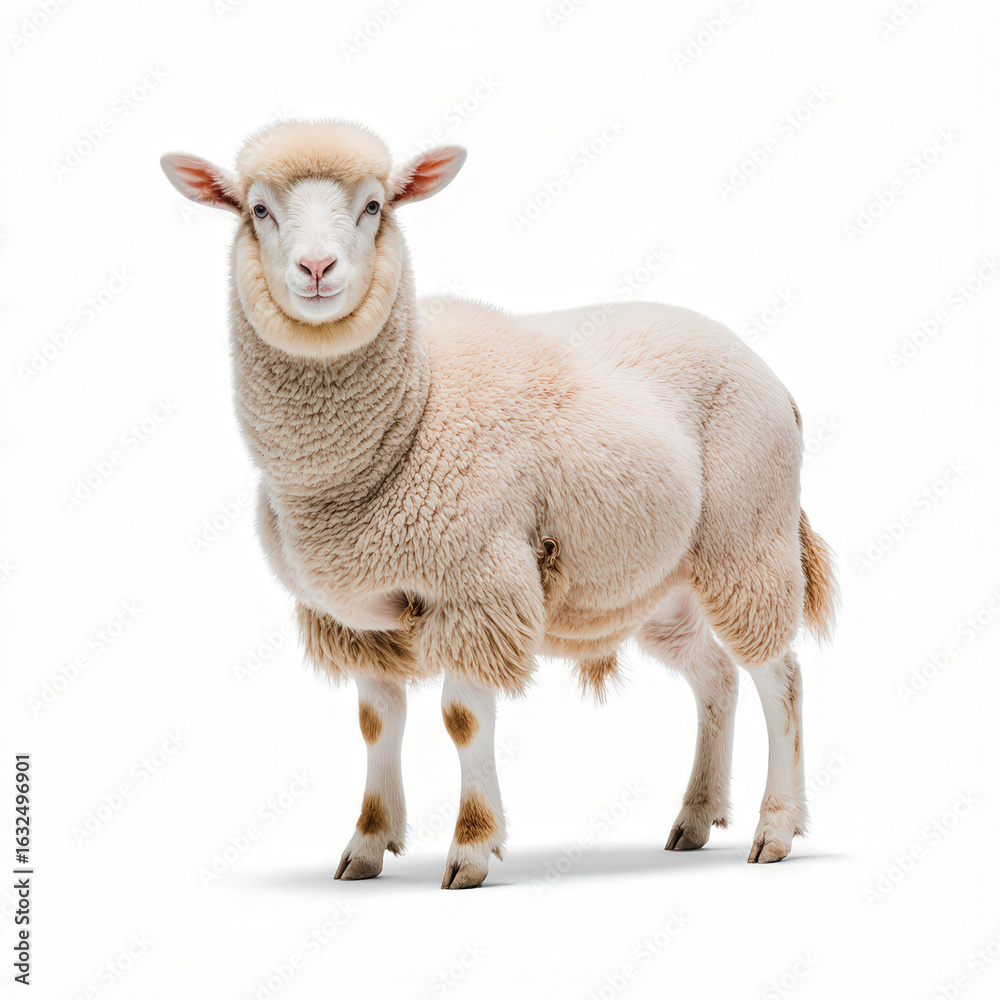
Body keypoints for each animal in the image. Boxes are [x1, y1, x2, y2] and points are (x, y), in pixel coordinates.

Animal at [161, 119, 837, 890]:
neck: (409, 414)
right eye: (258, 210)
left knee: (780, 678)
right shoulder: (356, 613)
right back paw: (694, 819)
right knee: (715, 677)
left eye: (374, 206)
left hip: (748, 538)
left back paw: (775, 828)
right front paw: (367, 844)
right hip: (659, 580)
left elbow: (462, 718)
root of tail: (769, 374)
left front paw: (472, 848)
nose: (316, 268)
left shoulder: (477, 585)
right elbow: (376, 722)